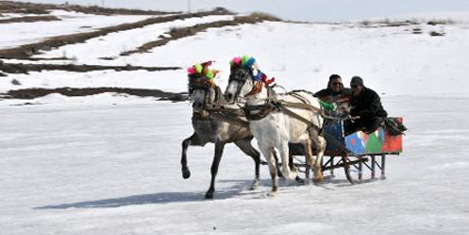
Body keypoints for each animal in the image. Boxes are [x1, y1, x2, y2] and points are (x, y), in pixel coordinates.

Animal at [180, 62, 262, 198]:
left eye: (206, 85)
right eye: (191, 86)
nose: (197, 105)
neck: (211, 113)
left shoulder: (220, 141)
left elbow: (214, 167)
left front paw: (210, 191)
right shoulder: (201, 138)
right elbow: (185, 143)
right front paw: (185, 172)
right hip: (242, 142)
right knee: (257, 155)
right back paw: (255, 183)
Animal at [223, 56, 326, 194]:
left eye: (242, 75)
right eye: (230, 75)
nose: (228, 95)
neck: (265, 113)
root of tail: (313, 97)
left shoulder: (282, 143)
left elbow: (285, 170)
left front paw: (294, 173)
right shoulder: (264, 145)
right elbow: (273, 170)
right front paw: (274, 191)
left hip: (314, 129)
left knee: (322, 144)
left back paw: (317, 171)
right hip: (295, 135)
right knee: (306, 139)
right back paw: (311, 161)